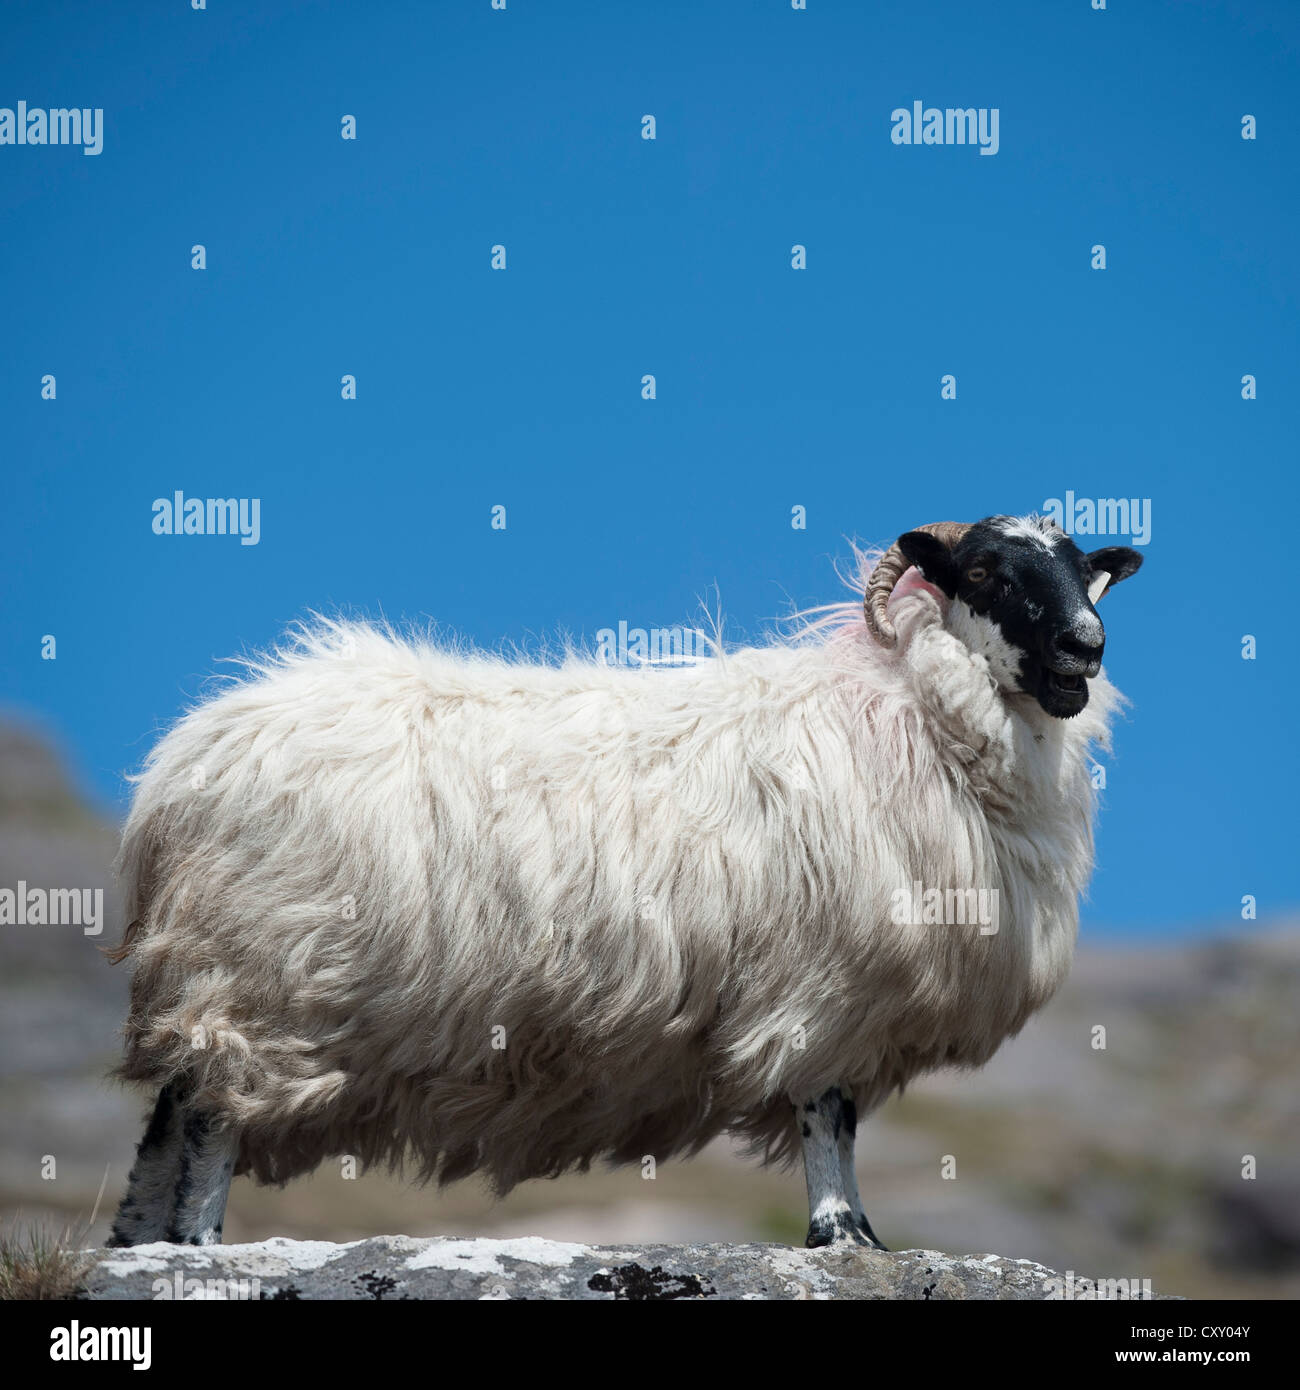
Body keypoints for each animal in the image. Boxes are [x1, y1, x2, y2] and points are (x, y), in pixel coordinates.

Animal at [105, 513, 1143, 1250]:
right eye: (989, 574)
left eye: (1085, 568)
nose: (1084, 649)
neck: (917, 714)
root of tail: (180, 764)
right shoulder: (822, 989)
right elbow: (828, 1119)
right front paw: (844, 1237)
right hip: (258, 981)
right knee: (209, 1122)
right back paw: (195, 1245)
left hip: (217, 977)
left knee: (166, 1119)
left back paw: (136, 1245)